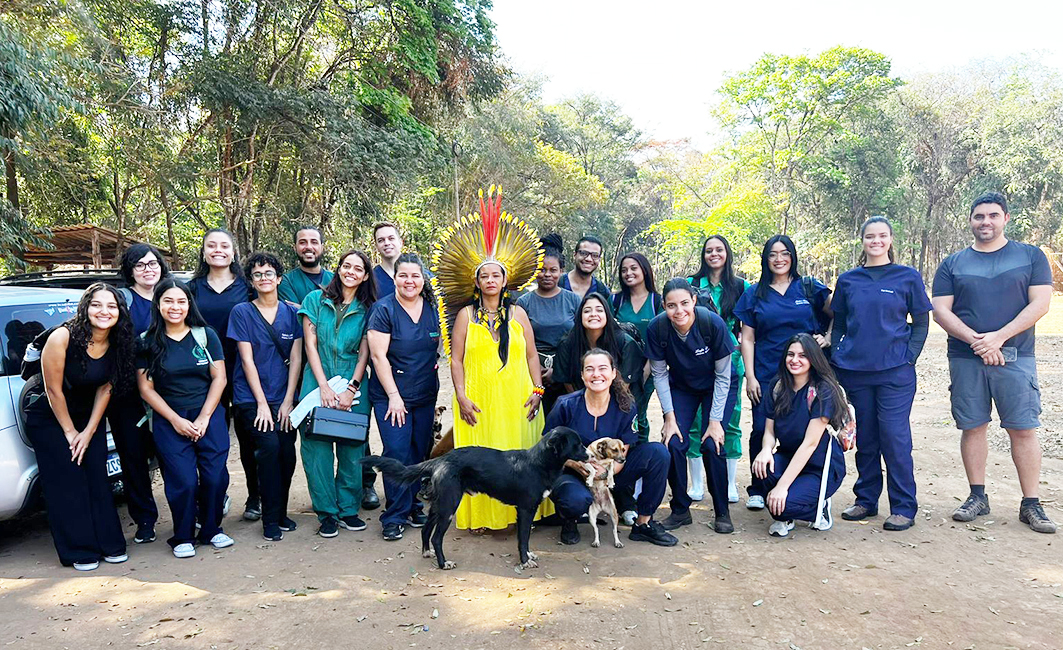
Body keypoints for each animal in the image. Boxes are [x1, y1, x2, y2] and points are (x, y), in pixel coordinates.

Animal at [361, 427, 586, 570]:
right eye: (577, 444)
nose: (590, 455)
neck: (538, 462)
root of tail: (440, 460)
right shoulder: (525, 509)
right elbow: (523, 539)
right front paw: (525, 561)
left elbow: (526, 539)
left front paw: (529, 556)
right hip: (449, 506)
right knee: (436, 537)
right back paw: (444, 564)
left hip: (439, 505)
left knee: (426, 530)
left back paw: (427, 553)